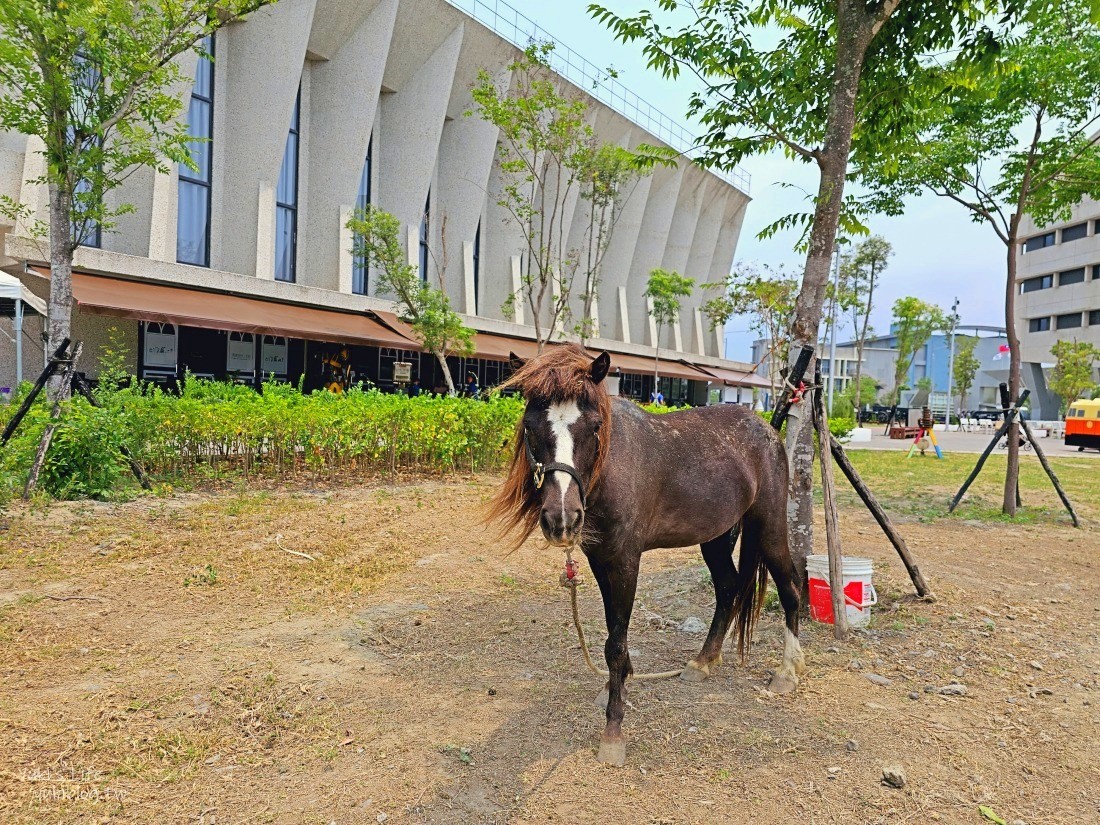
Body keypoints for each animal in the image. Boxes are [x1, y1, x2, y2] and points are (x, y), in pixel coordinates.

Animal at [492, 343, 809, 770]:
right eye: (529, 426)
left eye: (594, 427)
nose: (562, 518)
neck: (612, 469)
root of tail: (768, 430)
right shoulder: (599, 561)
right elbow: (614, 631)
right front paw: (618, 686)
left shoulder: (626, 561)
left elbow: (615, 643)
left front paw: (613, 731)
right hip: (716, 537)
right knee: (728, 589)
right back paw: (703, 662)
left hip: (769, 526)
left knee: (790, 588)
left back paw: (787, 673)